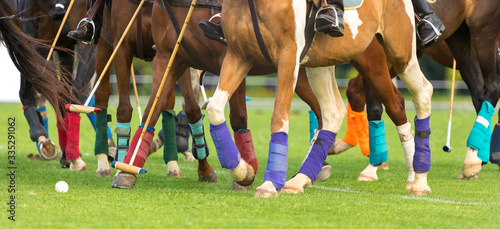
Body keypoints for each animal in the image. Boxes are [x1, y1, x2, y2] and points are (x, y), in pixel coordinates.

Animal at [207, 0, 434, 197]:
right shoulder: (238, 55)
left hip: (398, 54)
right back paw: (300, 179)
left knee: (418, 95)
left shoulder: (288, 57)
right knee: (333, 113)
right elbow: (214, 109)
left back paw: (418, 179)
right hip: (321, 62)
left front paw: (269, 184)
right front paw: (243, 172)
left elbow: (279, 118)